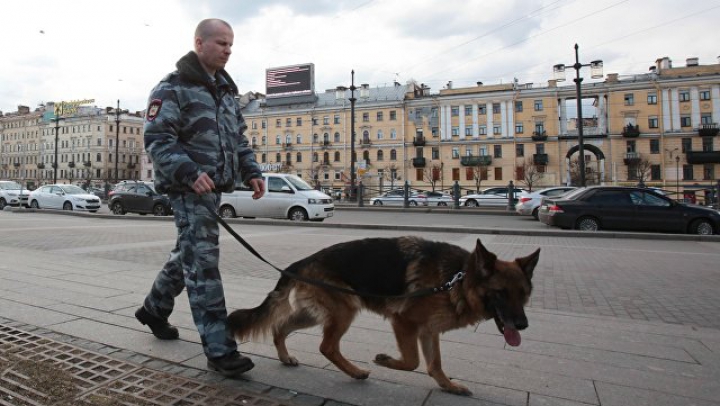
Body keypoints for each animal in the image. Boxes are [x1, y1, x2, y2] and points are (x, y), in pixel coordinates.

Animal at [228, 236, 536, 394]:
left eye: (523, 294)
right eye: (501, 293)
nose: (523, 325)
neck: (459, 278)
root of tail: (303, 261)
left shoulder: (429, 330)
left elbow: (434, 364)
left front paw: (448, 386)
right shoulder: (404, 322)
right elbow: (412, 362)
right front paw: (386, 361)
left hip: (316, 314)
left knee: (280, 326)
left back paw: (285, 356)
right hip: (344, 311)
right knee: (327, 346)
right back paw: (355, 371)